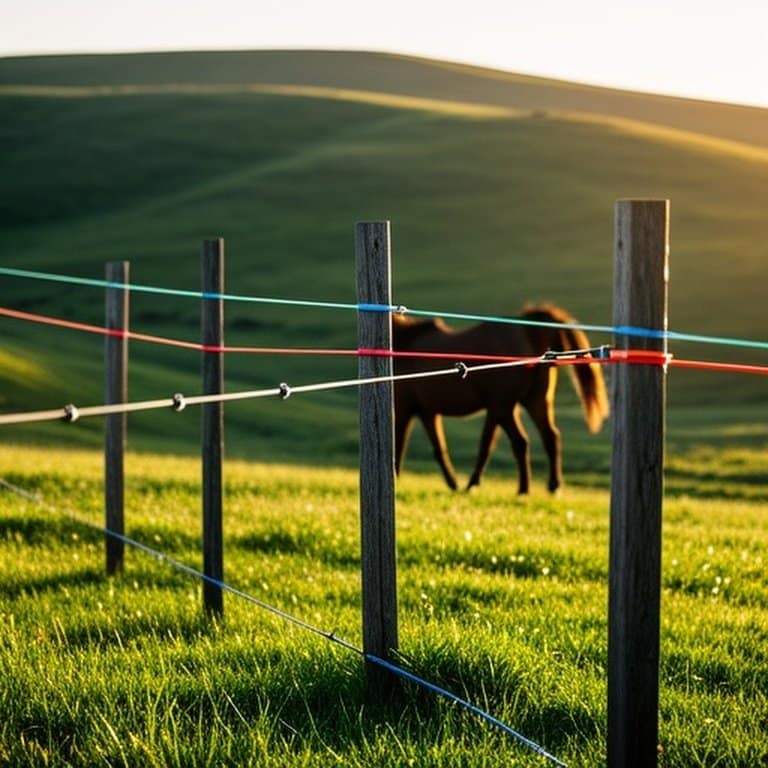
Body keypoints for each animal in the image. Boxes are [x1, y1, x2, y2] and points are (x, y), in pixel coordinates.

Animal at [392, 304, 609, 494]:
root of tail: (528, 328)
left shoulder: (404, 409)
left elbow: (399, 446)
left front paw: (396, 480)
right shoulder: (427, 412)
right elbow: (439, 449)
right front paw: (452, 484)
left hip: (504, 407)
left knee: (518, 442)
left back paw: (522, 489)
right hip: (531, 402)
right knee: (549, 437)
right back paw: (551, 486)